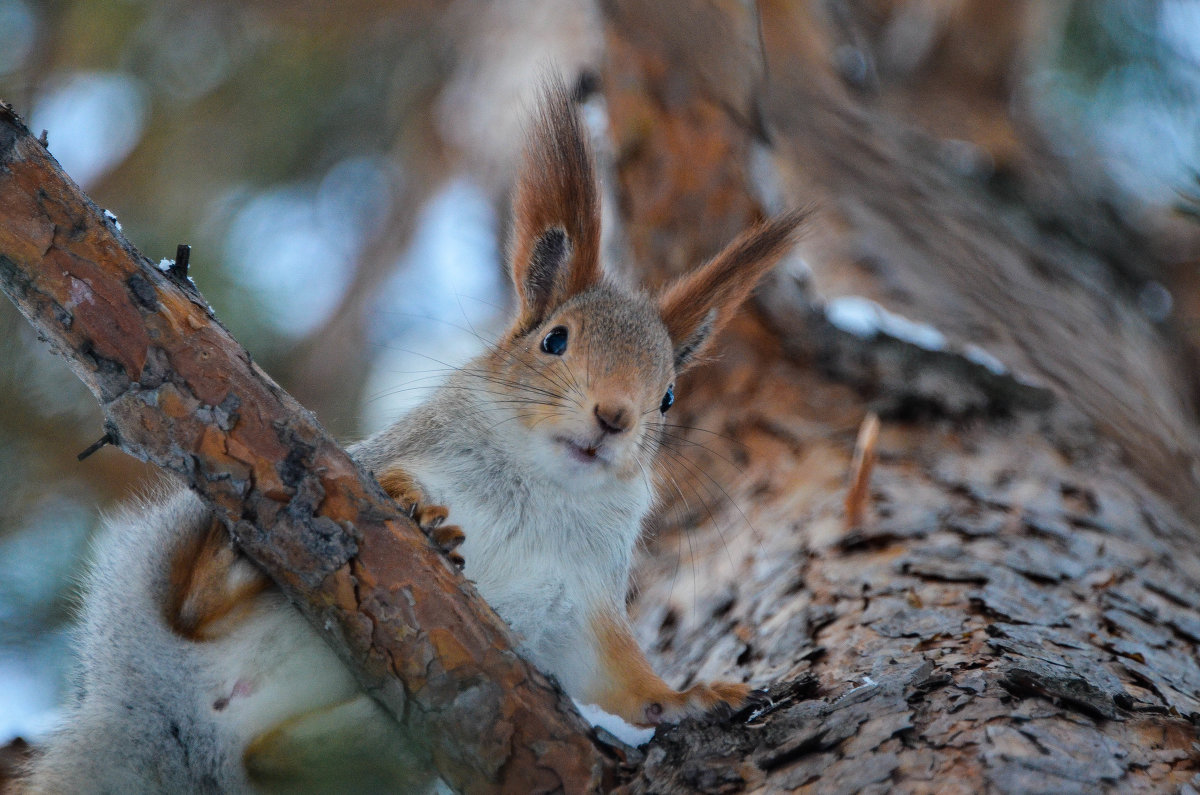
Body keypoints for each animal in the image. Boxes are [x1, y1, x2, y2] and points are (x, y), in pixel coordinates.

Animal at [21, 78, 806, 792]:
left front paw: (693, 697)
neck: (540, 490)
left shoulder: (583, 610)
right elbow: (393, 474)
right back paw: (235, 567)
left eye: (668, 394)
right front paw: (413, 502)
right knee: (189, 607)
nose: (614, 417)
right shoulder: (401, 448)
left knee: (277, 759)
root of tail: (172, 718)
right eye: (554, 340)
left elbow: (626, 682)